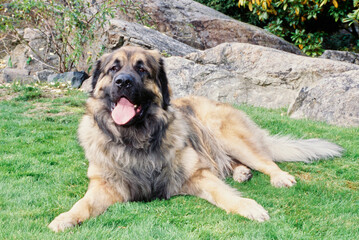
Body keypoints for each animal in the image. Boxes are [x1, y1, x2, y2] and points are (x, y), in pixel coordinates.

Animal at [47, 46, 344, 232]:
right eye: (113, 69)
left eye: (142, 70)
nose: (123, 82)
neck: (137, 137)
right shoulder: (105, 184)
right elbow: (83, 203)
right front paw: (65, 218)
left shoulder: (197, 174)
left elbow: (223, 193)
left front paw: (248, 207)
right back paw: (241, 173)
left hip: (227, 135)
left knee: (265, 161)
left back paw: (277, 177)